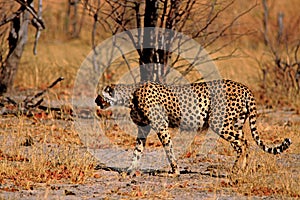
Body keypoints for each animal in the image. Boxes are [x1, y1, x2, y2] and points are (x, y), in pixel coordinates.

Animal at [95, 79, 290, 177]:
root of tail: (244, 87)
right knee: (244, 144)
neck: (130, 96)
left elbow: (169, 150)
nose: (96, 101)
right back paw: (242, 169)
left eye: (101, 95)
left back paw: (235, 170)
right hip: (235, 123)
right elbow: (137, 151)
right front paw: (129, 170)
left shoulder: (161, 127)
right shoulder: (143, 129)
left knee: (244, 143)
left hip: (220, 123)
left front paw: (175, 171)